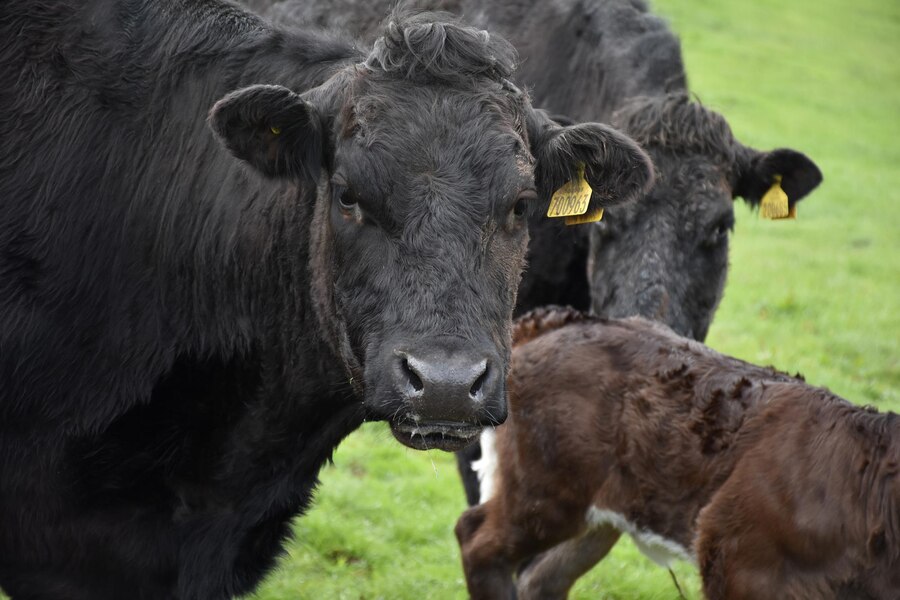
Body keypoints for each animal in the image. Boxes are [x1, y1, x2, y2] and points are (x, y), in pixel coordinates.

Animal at [458, 310, 900, 600]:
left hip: (603, 508)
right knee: (476, 539)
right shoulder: (739, 560)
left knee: (544, 578)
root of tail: (565, 319)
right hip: (545, 490)